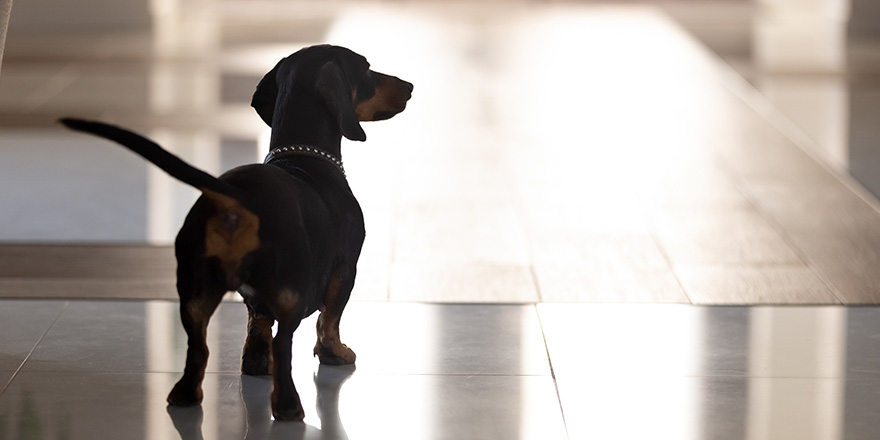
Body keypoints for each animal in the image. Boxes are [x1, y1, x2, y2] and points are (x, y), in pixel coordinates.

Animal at [62, 44, 412, 420]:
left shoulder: (256, 301)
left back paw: (186, 394)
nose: (409, 87)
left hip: (194, 295)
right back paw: (288, 406)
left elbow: (257, 326)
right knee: (284, 343)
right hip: (291, 291)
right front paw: (335, 353)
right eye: (366, 68)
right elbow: (329, 319)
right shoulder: (345, 269)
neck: (303, 157)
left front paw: (256, 363)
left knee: (198, 348)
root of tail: (236, 194)